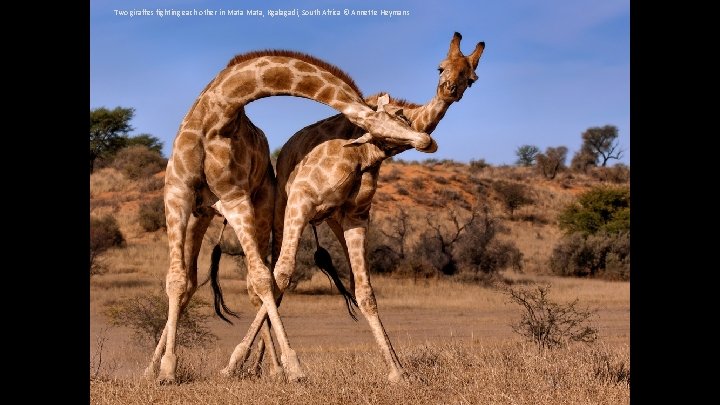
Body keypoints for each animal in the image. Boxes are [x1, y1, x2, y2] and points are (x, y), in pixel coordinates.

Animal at [143, 49, 430, 382]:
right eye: (396, 116)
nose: (426, 140)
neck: (218, 111)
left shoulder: (234, 197)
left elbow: (261, 278)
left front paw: (292, 365)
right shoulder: (176, 193)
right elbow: (176, 281)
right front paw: (165, 369)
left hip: (255, 209)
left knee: (253, 281)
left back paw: (273, 368)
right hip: (200, 214)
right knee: (190, 282)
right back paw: (154, 367)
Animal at [222, 32, 486, 382]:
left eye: (472, 78)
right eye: (440, 67)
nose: (450, 89)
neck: (367, 153)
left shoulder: (357, 216)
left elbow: (365, 292)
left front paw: (397, 372)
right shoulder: (303, 198)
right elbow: (282, 274)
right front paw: (242, 363)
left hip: (332, 219)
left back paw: (264, 365)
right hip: (281, 208)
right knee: (268, 276)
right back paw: (257, 365)